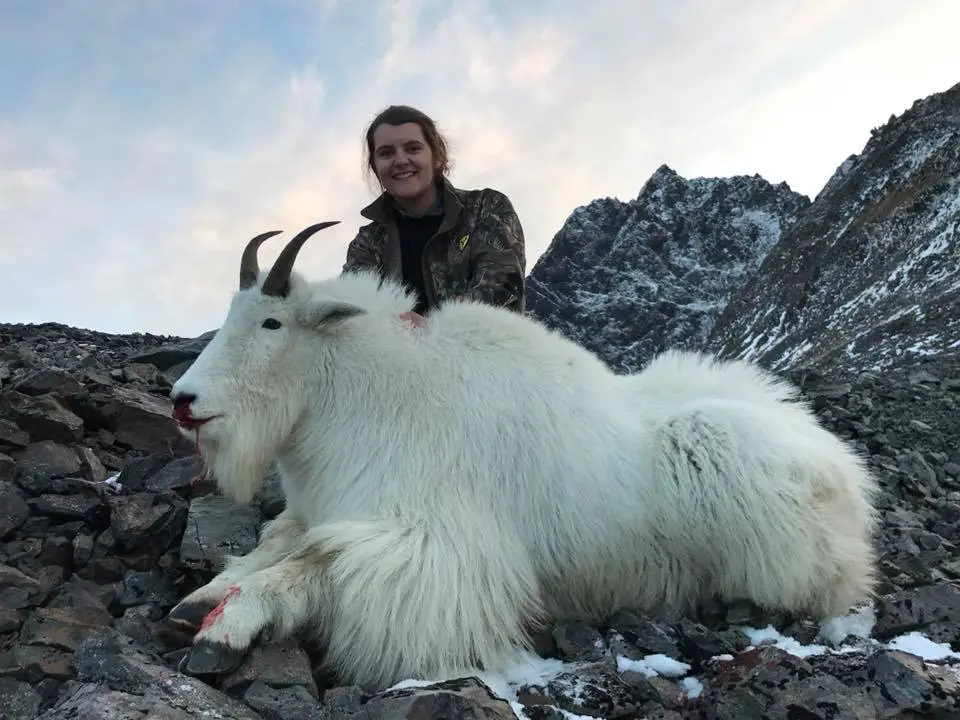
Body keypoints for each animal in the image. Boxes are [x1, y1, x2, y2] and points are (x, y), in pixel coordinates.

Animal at [166, 221, 880, 691]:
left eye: (271, 323)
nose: (183, 400)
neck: (364, 397)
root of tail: (846, 475)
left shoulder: (433, 550)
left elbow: (317, 563)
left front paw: (230, 620)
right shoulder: (317, 511)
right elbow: (275, 545)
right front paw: (203, 594)